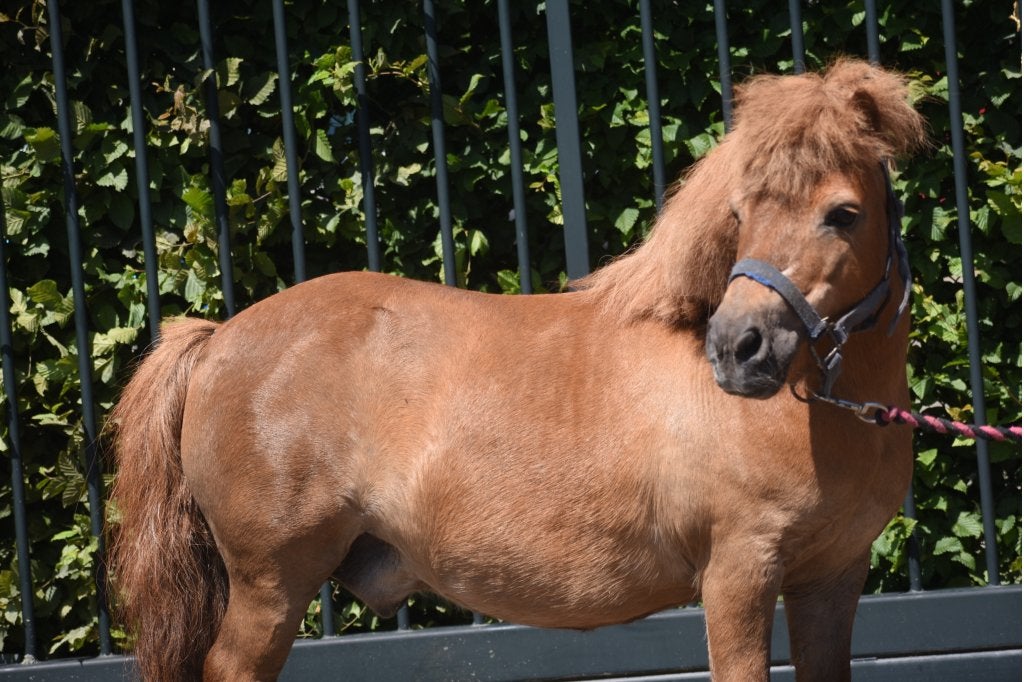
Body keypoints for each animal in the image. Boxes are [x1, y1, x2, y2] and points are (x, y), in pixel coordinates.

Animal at [107, 58, 925, 681]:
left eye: (844, 213)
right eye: (740, 211)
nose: (736, 347)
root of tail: (218, 338)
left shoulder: (832, 579)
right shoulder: (738, 573)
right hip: (268, 585)